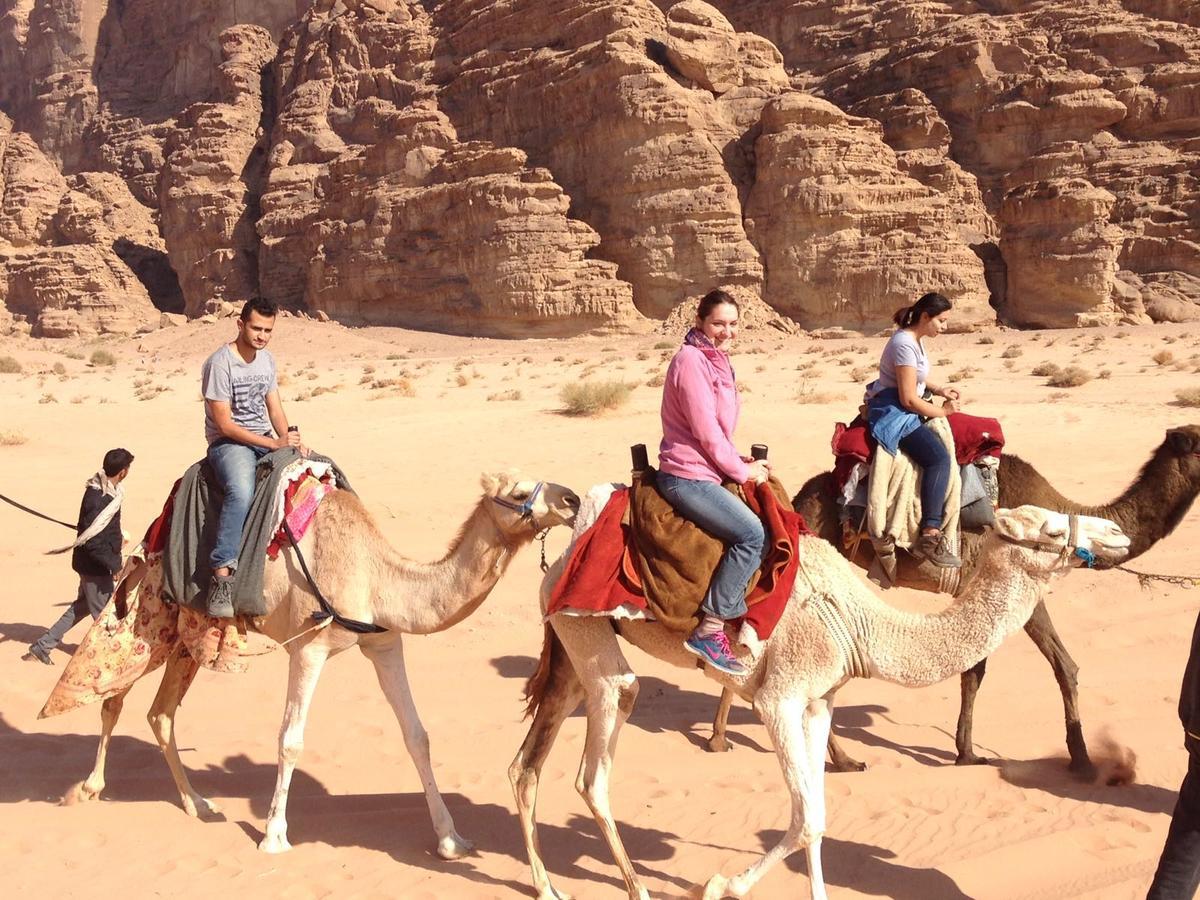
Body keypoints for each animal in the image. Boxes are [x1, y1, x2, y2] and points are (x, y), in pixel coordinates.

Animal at [58, 472, 578, 859]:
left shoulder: (386, 642)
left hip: (190, 636)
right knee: (114, 689)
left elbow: (417, 736)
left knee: (159, 713)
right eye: (518, 492)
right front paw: (273, 836)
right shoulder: (307, 647)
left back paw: (198, 803)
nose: (572, 498)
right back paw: (86, 788)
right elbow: (290, 740)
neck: (377, 576)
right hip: (155, 614)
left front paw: (451, 838)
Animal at [511, 494, 1128, 900]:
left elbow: (819, 817)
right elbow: (805, 816)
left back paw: (547, 887)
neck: (859, 621)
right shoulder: (779, 698)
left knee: (527, 763)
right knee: (598, 757)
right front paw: (719, 883)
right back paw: (635, 888)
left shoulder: (819, 701)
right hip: (589, 634)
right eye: (1051, 530)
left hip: (568, 640)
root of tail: (560, 558)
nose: (1116, 536)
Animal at [705, 422, 1200, 777]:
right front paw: (1072, 760)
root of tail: (796, 498)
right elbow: (1036, 665)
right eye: (1198, 442)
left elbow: (1018, 667)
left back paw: (737, 739)